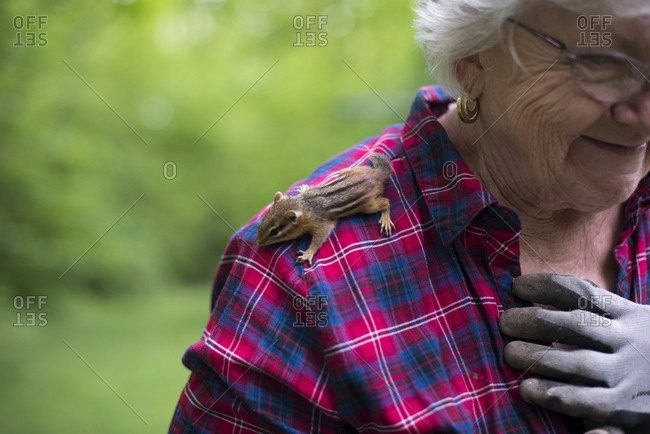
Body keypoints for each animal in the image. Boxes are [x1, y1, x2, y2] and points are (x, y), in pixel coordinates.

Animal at [255, 153, 395, 265]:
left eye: (274, 231)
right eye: (264, 219)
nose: (257, 242)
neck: (303, 205)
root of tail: (376, 174)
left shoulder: (321, 224)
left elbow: (319, 238)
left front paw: (308, 253)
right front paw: (305, 188)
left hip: (369, 205)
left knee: (386, 202)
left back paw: (386, 220)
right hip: (347, 172)